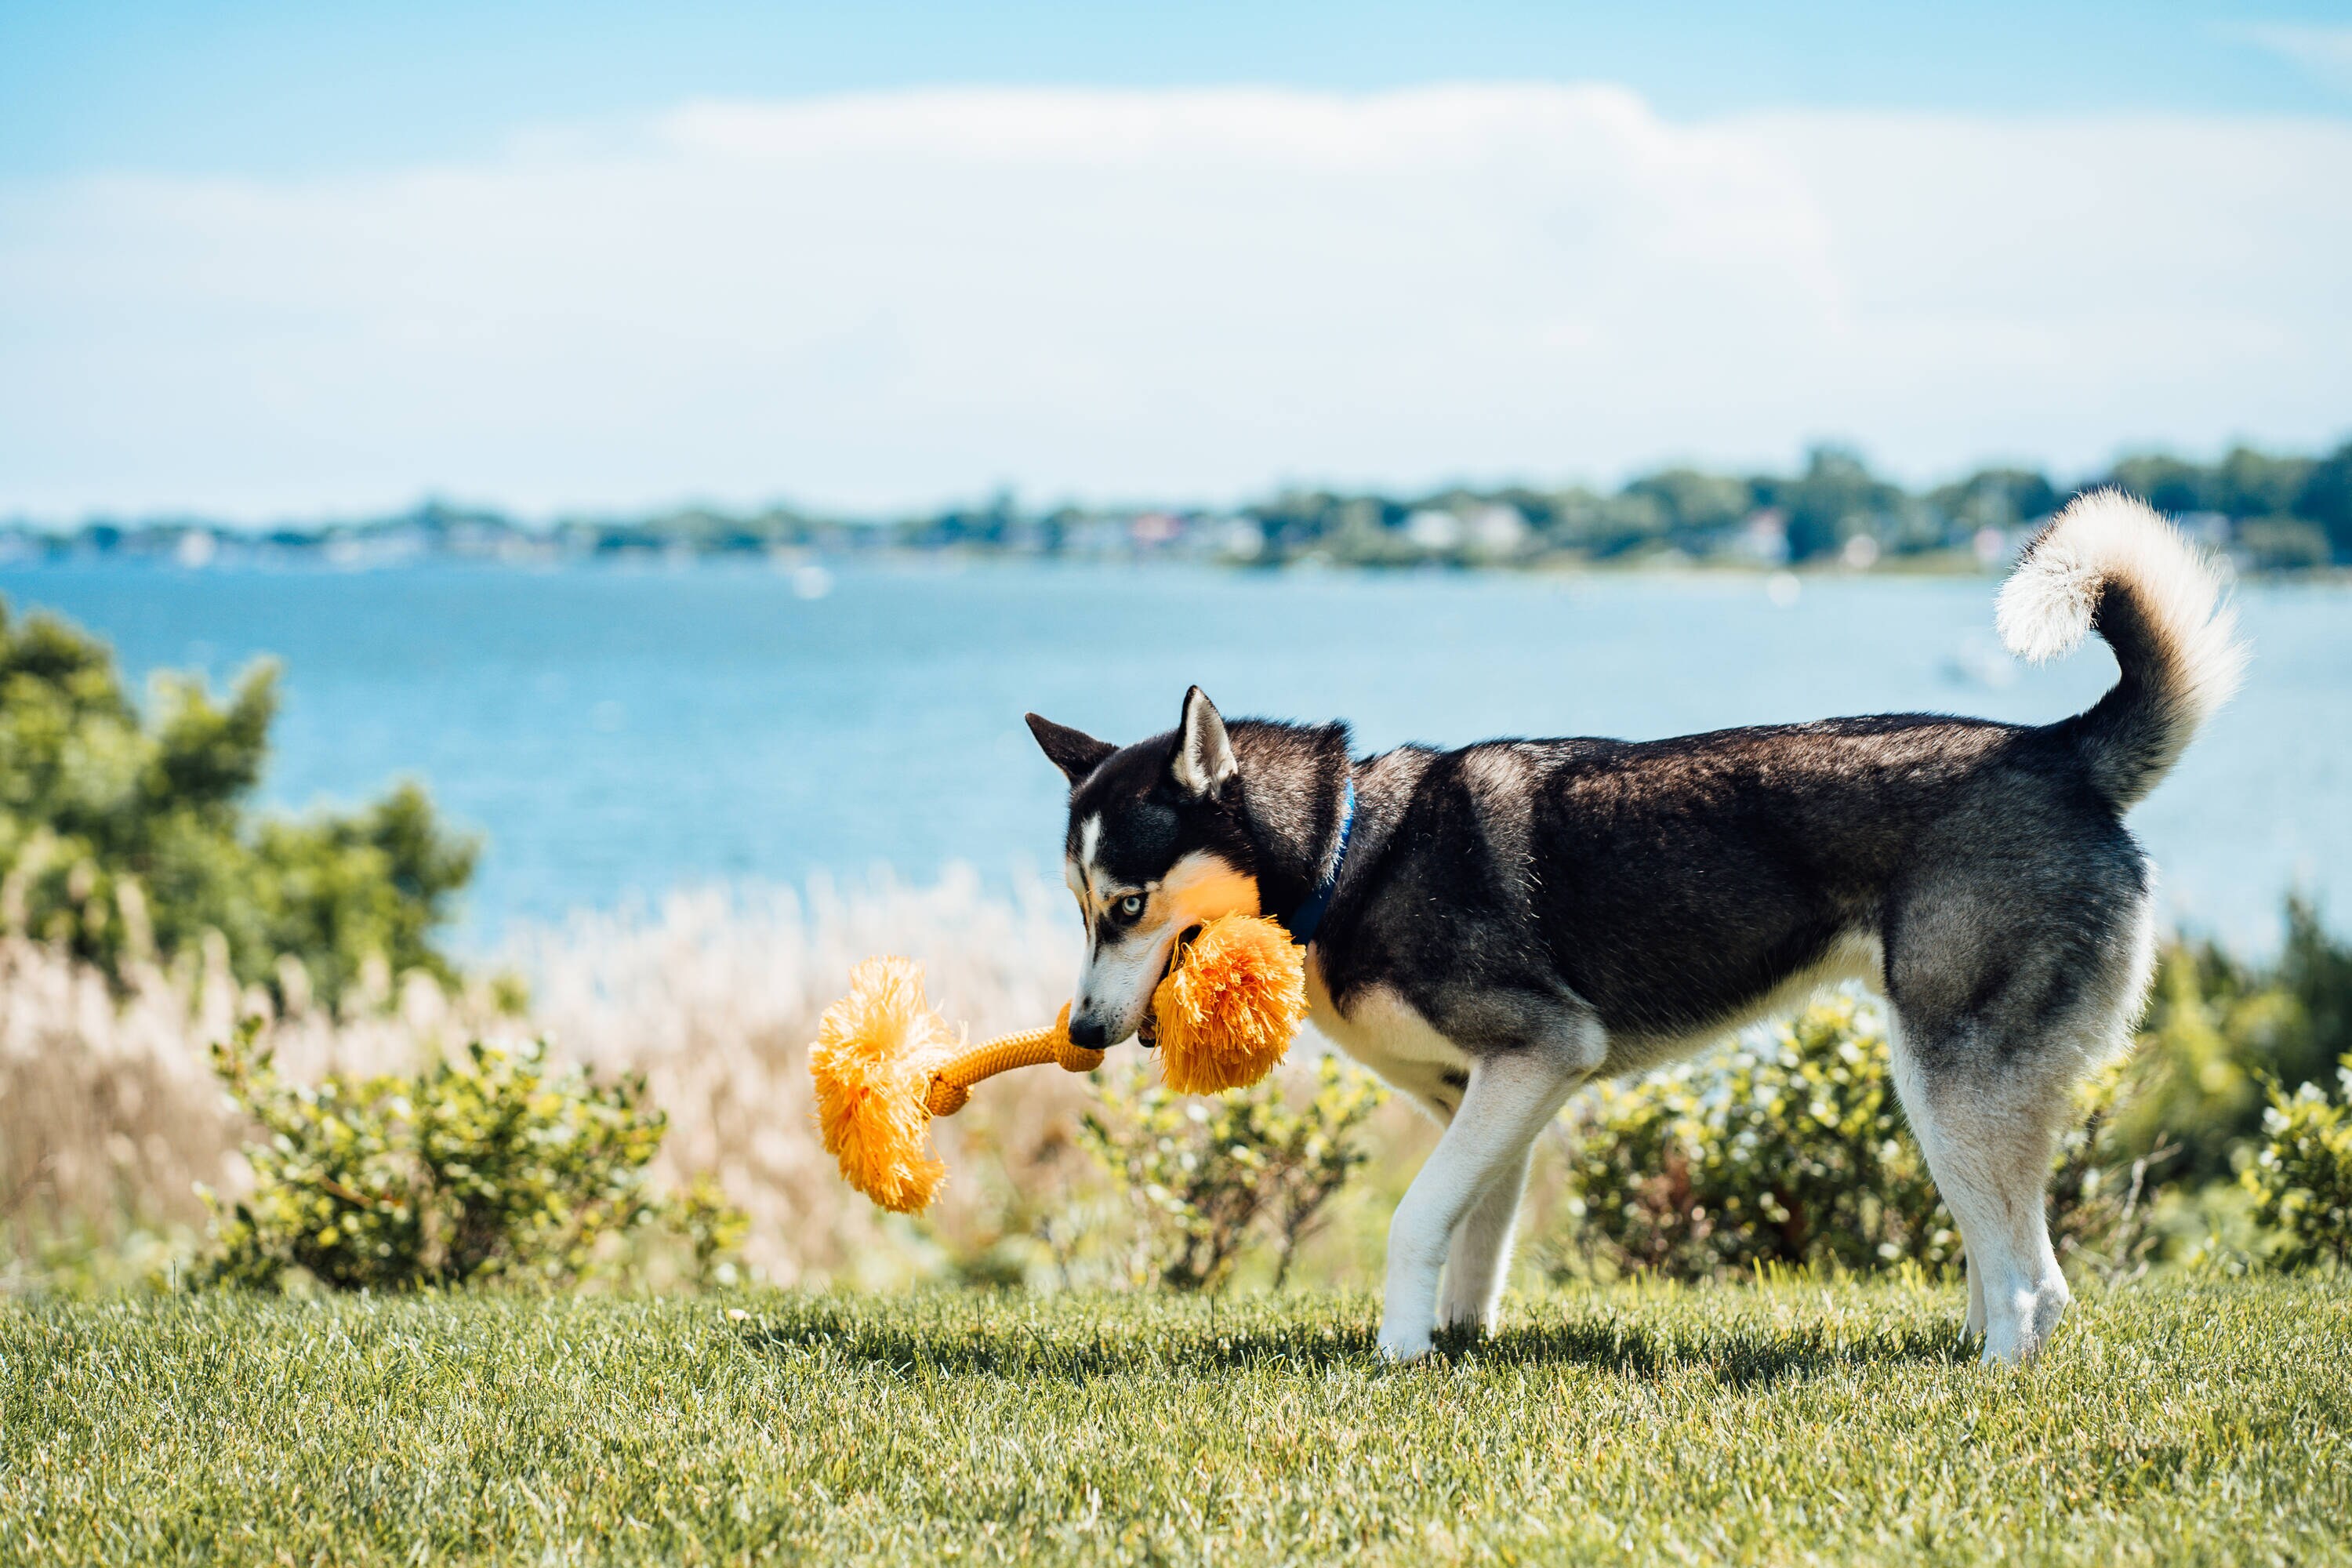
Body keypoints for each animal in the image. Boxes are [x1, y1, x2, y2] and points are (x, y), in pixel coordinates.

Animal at [1025, 495, 2239, 1363]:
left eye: (1128, 905)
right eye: (1080, 908)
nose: (1079, 1034)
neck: (1345, 851)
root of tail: (2057, 747)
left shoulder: (1543, 1053)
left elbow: (1417, 1221)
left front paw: (1396, 1355)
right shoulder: (1484, 1098)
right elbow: (1472, 1240)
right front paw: (1450, 1346)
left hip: (1954, 1081)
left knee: (2037, 1283)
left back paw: (1986, 1373)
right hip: (1943, 1085)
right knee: (2015, 1264)